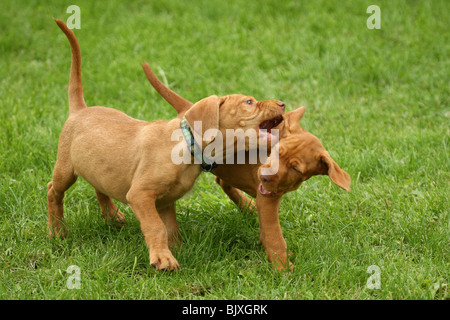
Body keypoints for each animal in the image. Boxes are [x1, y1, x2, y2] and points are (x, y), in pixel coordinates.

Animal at [49, 20, 284, 270]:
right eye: (248, 102)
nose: (282, 103)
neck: (188, 146)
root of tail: (80, 109)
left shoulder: (165, 202)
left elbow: (171, 230)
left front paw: (177, 252)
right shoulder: (140, 195)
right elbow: (156, 227)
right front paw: (163, 258)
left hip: (98, 167)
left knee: (99, 186)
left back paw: (111, 216)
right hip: (65, 169)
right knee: (53, 191)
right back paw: (56, 230)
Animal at [142, 64, 350, 270]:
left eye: (296, 169)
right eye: (276, 152)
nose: (264, 177)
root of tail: (188, 107)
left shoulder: (270, 194)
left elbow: (267, 231)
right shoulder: (267, 200)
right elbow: (275, 237)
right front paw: (283, 268)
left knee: (223, 182)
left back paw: (248, 206)